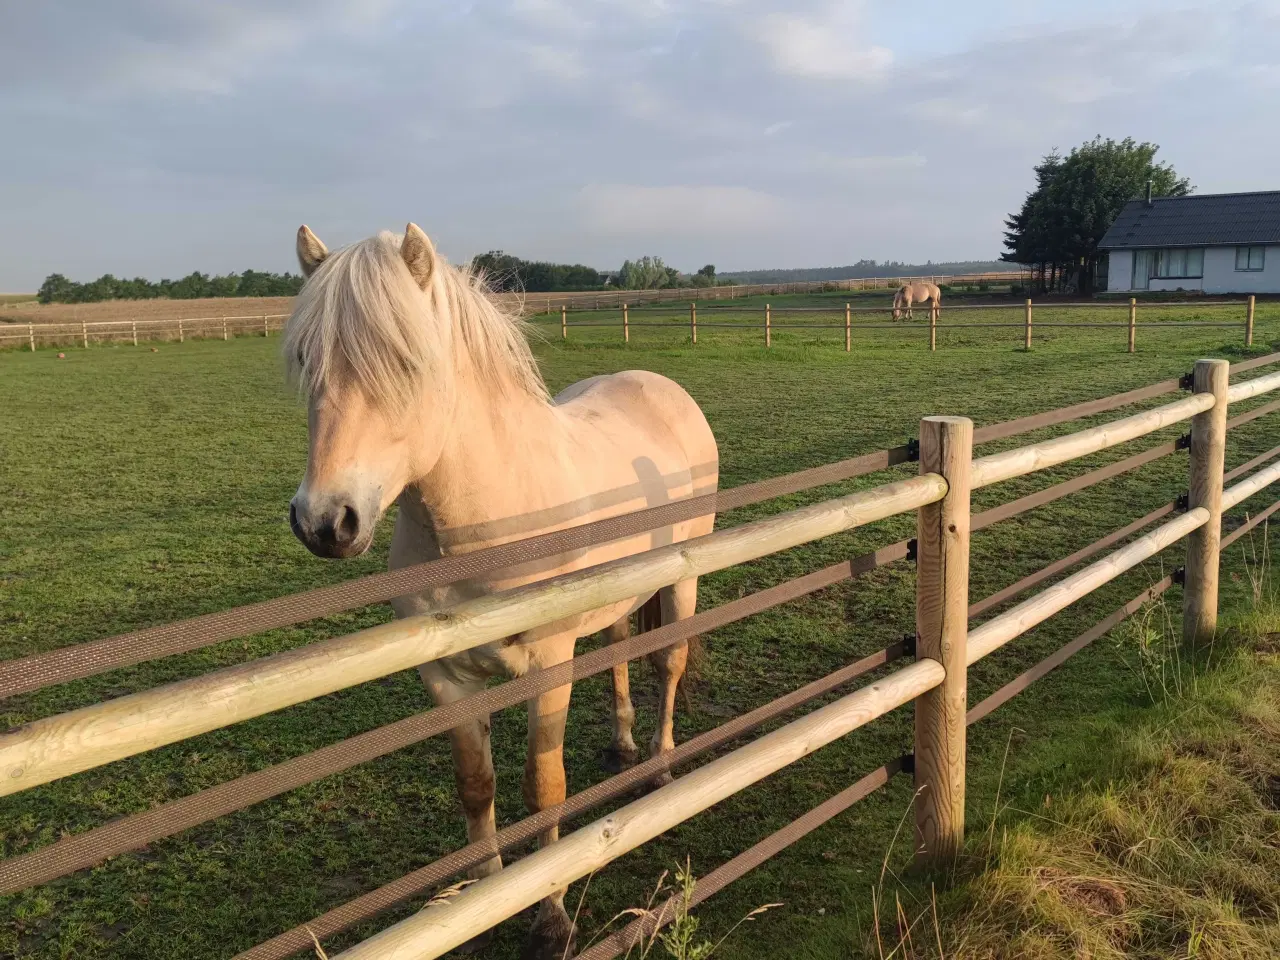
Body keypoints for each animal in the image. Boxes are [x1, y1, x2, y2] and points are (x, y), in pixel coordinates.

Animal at [284, 223, 719, 959]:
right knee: (621, 651)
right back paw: (624, 746)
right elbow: (475, 783)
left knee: (668, 661)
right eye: (306, 357)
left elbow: (543, 786)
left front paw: (551, 918)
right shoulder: (444, 675)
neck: (487, 518)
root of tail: (661, 386)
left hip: (678, 577)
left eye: (408, 364)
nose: (324, 521)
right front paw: (486, 895)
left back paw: (660, 768)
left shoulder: (548, 660)